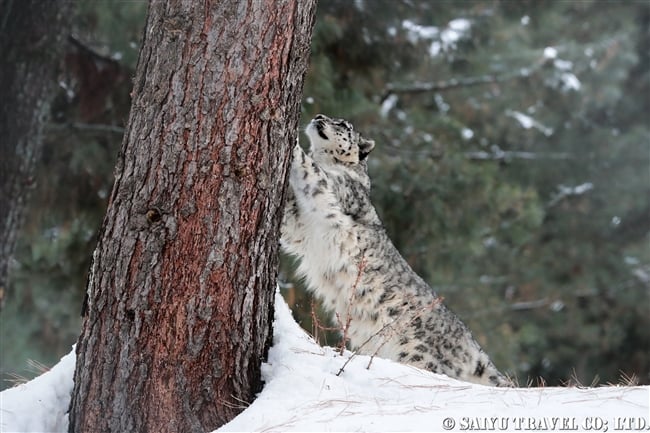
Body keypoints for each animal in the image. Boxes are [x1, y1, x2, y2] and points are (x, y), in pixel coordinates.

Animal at [280, 113, 512, 386]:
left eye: (343, 124)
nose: (318, 116)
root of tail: (473, 346)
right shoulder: (299, 226)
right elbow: (286, 218)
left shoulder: (337, 188)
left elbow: (312, 170)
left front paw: (292, 141)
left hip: (417, 355)